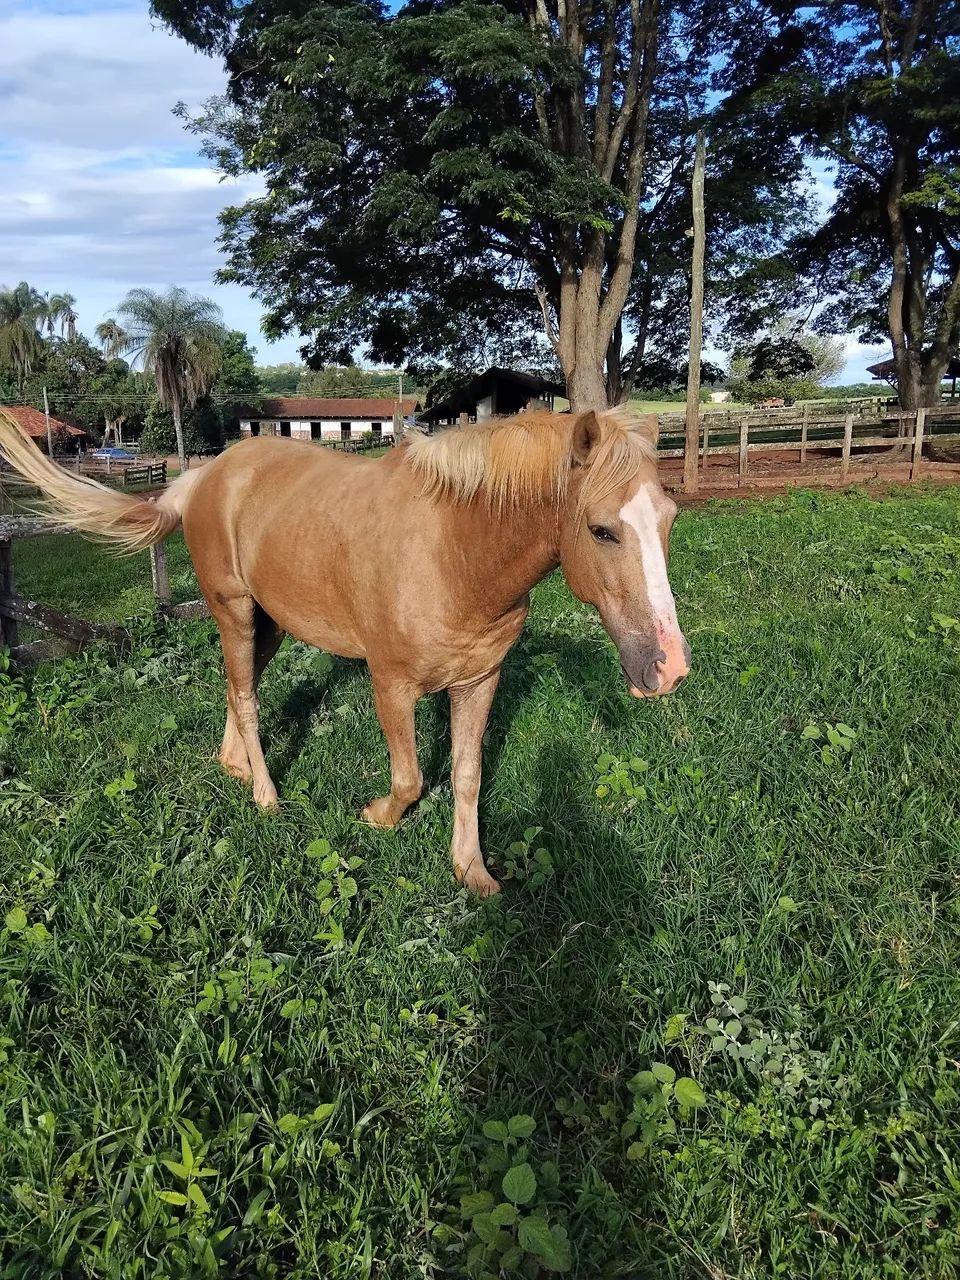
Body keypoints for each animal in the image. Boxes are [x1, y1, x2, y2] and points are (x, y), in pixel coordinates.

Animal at [0, 405, 690, 896]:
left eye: (669, 518)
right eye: (601, 530)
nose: (669, 667)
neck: (454, 552)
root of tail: (203, 476)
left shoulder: (480, 680)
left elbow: (466, 776)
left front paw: (472, 872)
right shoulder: (391, 683)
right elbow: (410, 779)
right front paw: (377, 817)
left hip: (270, 622)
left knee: (237, 686)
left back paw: (234, 766)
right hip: (233, 610)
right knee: (246, 697)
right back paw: (266, 797)